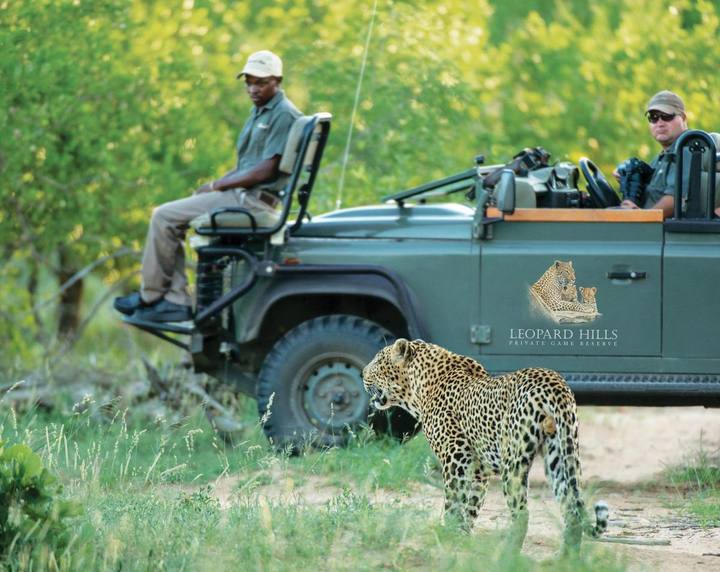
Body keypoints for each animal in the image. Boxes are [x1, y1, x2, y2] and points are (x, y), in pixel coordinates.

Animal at [363, 339, 608, 554]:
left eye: (377, 361)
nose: (362, 373)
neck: (418, 388)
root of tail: (554, 382)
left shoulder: (456, 458)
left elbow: (453, 502)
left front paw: (445, 535)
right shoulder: (480, 471)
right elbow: (472, 505)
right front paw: (461, 536)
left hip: (514, 463)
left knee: (522, 514)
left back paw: (508, 556)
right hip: (560, 454)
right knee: (571, 510)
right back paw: (565, 559)